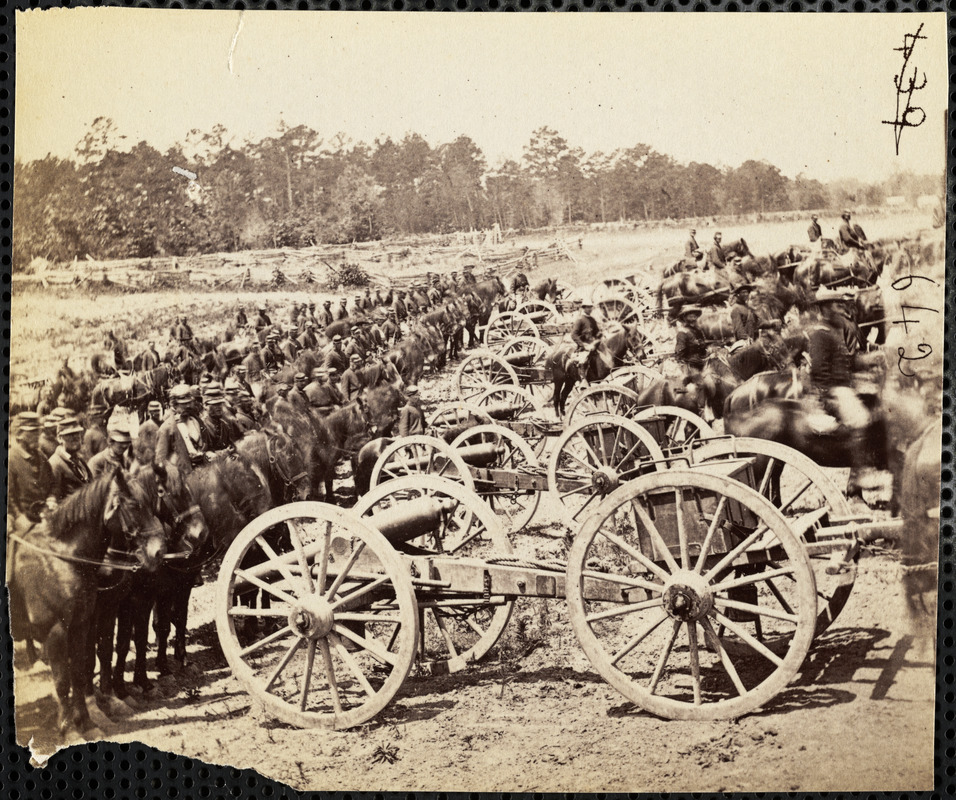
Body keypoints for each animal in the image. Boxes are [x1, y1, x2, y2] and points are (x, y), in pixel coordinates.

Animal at [8, 468, 166, 736]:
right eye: (134, 505)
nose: (159, 552)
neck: (61, 560)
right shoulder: (56, 632)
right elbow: (63, 681)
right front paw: (69, 728)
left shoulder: (81, 625)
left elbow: (80, 673)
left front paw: (87, 723)